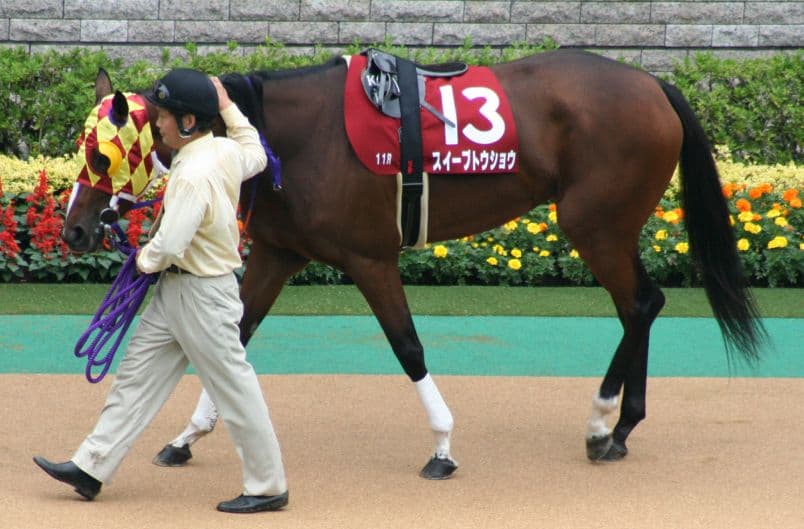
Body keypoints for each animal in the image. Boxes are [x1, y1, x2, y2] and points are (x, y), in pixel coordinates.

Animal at [61, 48, 765, 480]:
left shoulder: (370, 258)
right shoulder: (280, 254)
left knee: (641, 303)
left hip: (594, 223)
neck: (289, 138)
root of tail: (655, 84)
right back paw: (618, 429)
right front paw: (187, 437)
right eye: (85, 145)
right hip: (608, 226)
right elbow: (233, 339)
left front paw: (443, 447)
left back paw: (601, 422)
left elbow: (407, 346)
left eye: (101, 153)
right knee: (639, 306)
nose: (73, 228)